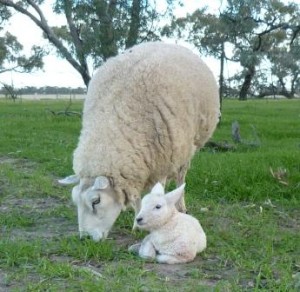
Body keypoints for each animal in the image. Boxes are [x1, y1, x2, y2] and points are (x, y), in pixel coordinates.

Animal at [58, 41, 219, 242]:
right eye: (75, 201)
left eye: (96, 201)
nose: (85, 239)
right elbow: (136, 199)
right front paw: (137, 220)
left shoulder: (162, 162)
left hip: (189, 145)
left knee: (181, 176)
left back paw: (181, 205)